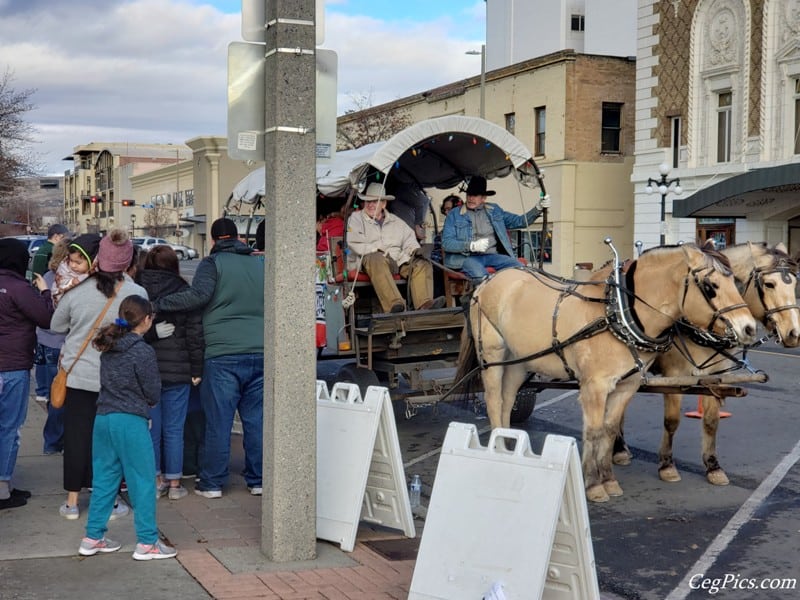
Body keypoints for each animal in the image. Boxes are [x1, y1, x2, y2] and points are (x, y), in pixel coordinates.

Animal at [456, 243, 756, 502]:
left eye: (736, 282)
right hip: (493, 356)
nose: (749, 328)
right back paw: (498, 449)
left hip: (519, 362)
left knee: (507, 400)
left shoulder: (626, 385)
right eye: (710, 286)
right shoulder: (595, 386)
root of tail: (489, 281)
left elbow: (610, 430)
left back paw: (506, 444)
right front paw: (592, 484)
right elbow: (594, 430)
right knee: (494, 400)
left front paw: (609, 480)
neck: (619, 314)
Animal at [608, 241, 796, 486]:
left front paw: (713, 466)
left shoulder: (715, 376)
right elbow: (672, 421)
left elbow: (711, 421)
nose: (793, 333)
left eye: (795, 284)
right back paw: (619, 449)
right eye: (769, 284)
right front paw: (667, 465)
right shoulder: (675, 375)